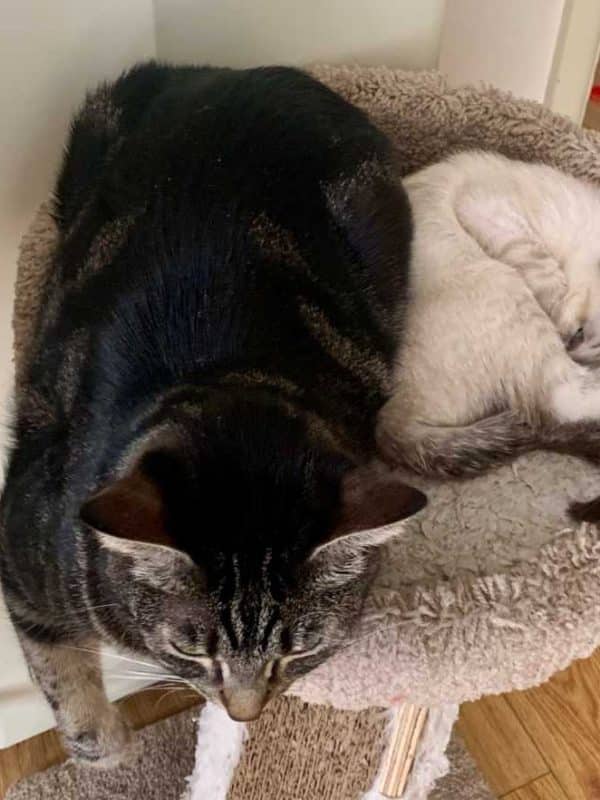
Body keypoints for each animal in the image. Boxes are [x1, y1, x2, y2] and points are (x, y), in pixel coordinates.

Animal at [0, 62, 424, 763]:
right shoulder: (24, 545)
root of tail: (239, 75)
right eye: (191, 648)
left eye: (300, 650)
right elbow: (55, 664)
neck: (225, 372)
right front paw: (103, 744)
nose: (244, 711)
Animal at [377, 150, 600, 477]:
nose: (572, 347)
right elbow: (546, 275)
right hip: (503, 282)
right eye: (582, 331)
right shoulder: (491, 211)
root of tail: (388, 416)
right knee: (557, 402)